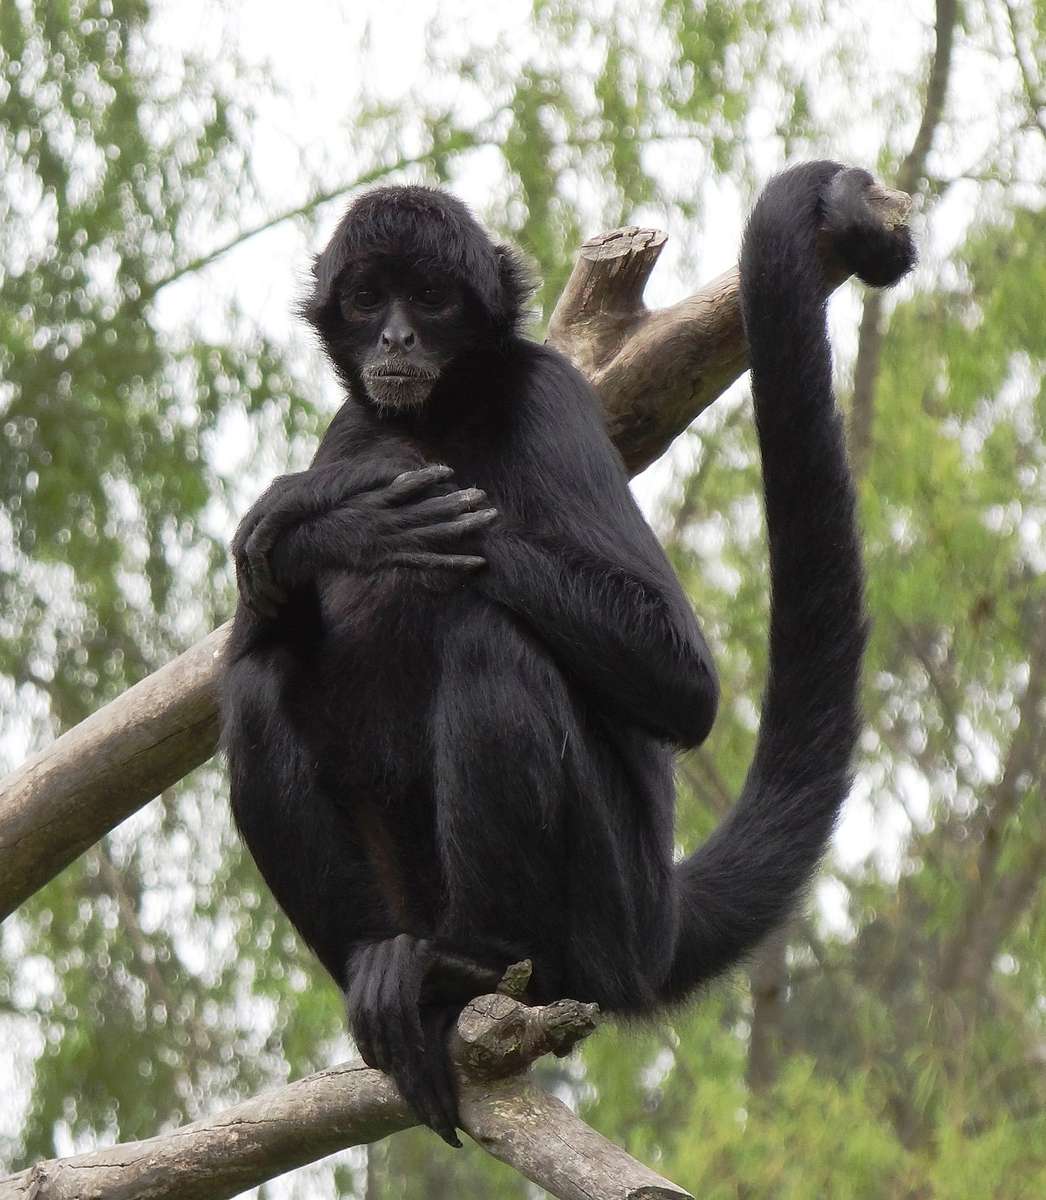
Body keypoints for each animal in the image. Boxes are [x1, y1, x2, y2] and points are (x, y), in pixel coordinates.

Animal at [220, 159, 916, 1142]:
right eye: (365, 298)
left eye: (429, 297)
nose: (395, 333)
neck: (439, 420)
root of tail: (658, 925)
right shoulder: (349, 424)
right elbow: (256, 626)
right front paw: (334, 522)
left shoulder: (547, 395)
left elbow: (683, 685)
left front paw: (341, 506)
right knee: (258, 686)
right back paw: (398, 976)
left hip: (604, 906)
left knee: (488, 641)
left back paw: (470, 967)